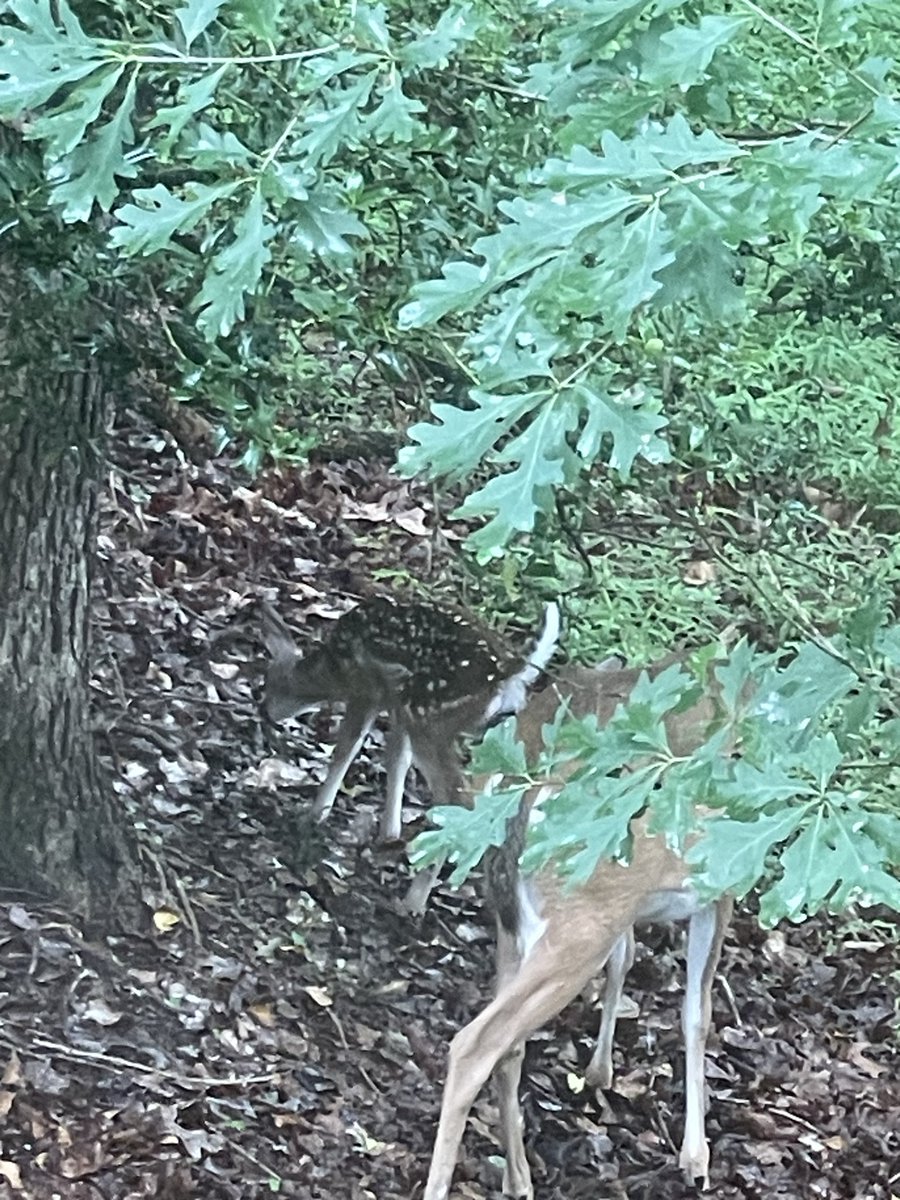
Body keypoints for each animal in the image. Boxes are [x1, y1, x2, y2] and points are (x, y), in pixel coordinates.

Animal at [260, 596, 560, 912]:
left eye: (269, 681)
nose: (263, 709)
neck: (331, 668)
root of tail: (509, 671)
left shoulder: (367, 691)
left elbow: (347, 748)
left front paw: (315, 815)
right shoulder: (397, 705)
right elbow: (397, 759)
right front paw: (389, 833)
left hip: (428, 719)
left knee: (459, 798)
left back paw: (414, 900)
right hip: (497, 736)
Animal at [422, 660, 734, 1200]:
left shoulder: (626, 910)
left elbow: (627, 958)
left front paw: (599, 1071)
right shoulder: (722, 887)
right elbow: (697, 1014)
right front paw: (696, 1159)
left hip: (518, 925)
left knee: (510, 1045)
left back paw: (518, 1177)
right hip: (575, 931)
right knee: (476, 1044)